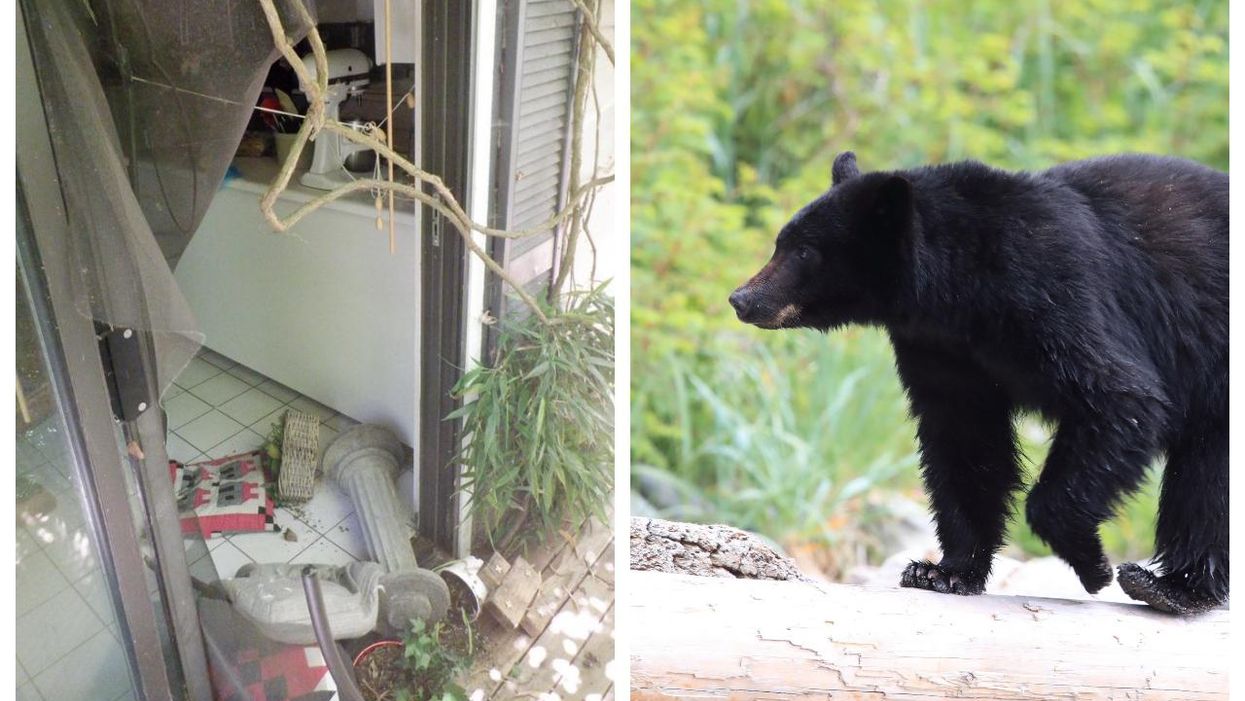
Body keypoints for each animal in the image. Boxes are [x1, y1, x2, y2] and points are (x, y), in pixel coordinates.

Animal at [729, 151, 1228, 614]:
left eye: (804, 251)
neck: (962, 291)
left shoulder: (1055, 292)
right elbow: (965, 441)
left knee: (1204, 476)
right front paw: (943, 571)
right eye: (781, 242)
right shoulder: (940, 346)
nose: (742, 298)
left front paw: (1092, 564)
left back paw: (1169, 588)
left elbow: (1119, 396)